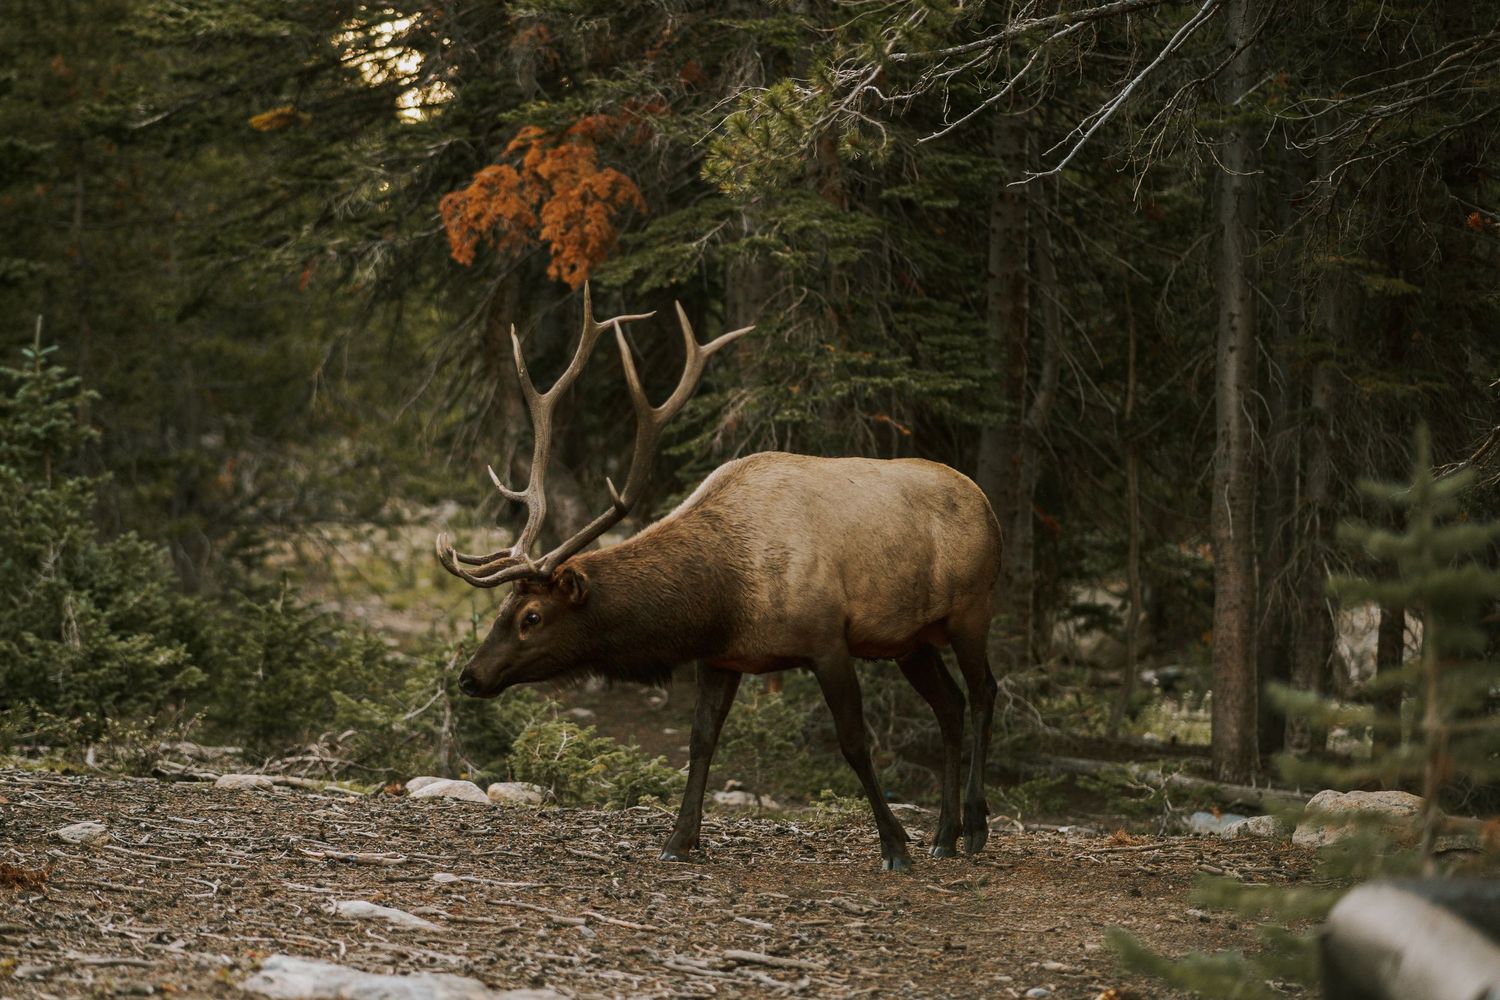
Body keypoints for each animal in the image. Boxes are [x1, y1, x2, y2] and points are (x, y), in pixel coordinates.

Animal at [436, 288, 1002, 872]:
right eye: (504, 608)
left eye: (532, 616)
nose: (470, 677)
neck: (721, 597)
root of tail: (986, 503)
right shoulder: (721, 656)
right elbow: (700, 742)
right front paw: (679, 840)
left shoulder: (826, 641)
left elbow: (853, 742)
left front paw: (893, 844)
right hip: (910, 640)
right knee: (949, 704)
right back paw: (944, 833)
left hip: (972, 609)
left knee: (985, 692)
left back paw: (974, 827)